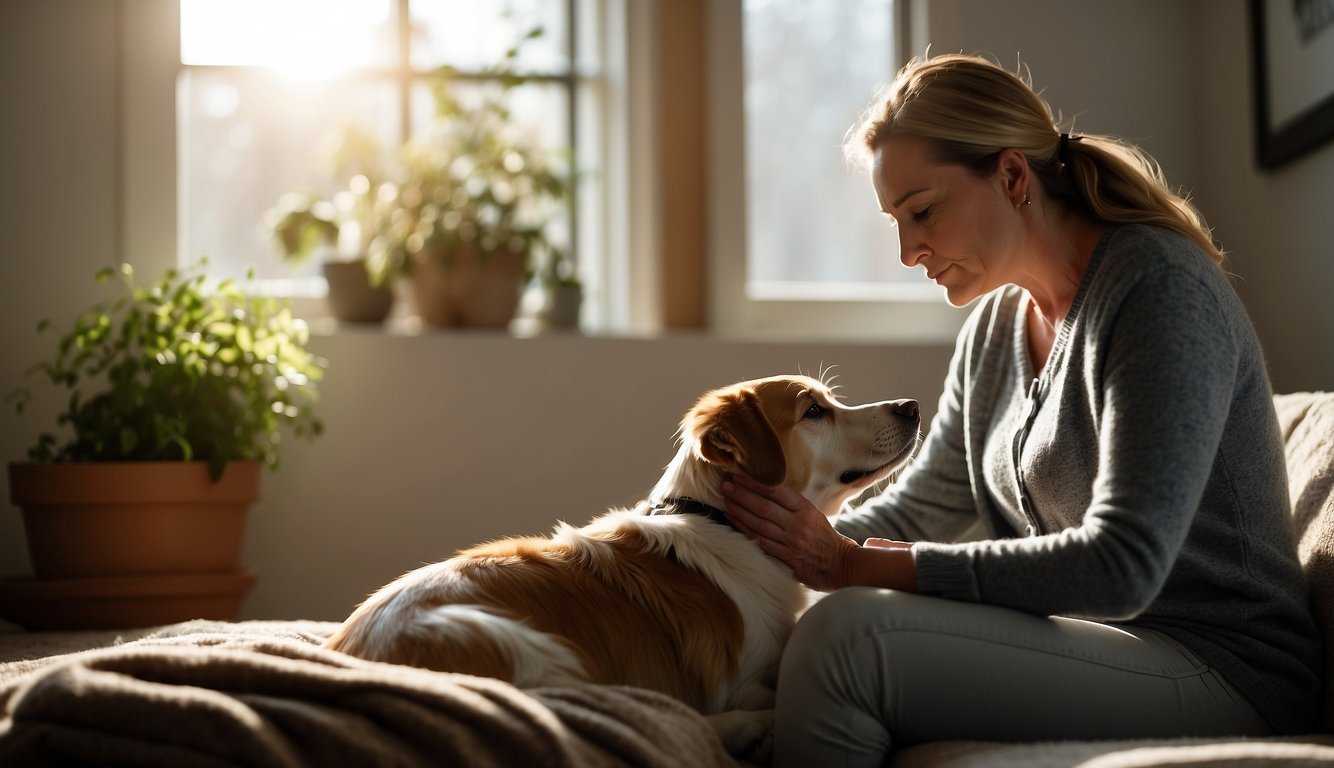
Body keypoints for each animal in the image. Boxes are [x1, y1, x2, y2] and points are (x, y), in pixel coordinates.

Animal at [328, 376, 923, 752]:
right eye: (814, 411)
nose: (912, 406)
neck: (723, 521)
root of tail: (351, 654)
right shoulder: (738, 679)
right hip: (523, 645)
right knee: (660, 714)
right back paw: (752, 729)